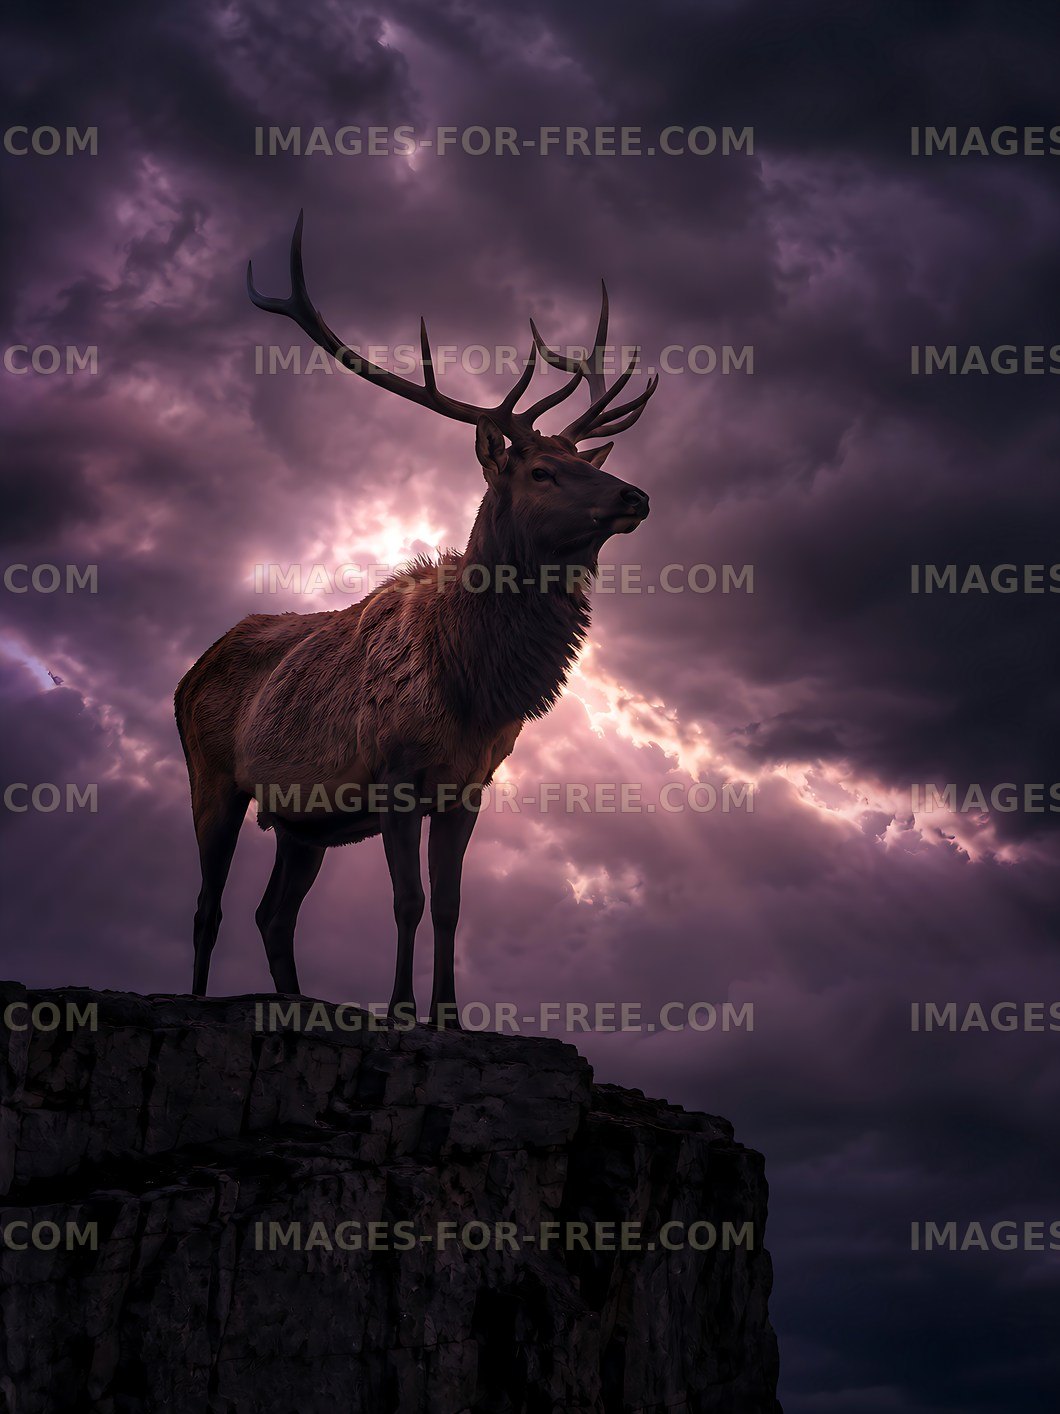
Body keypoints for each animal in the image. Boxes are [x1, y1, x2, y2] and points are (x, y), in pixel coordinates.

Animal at [174, 211, 657, 1027]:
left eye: (583, 462)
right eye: (541, 471)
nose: (635, 495)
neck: (471, 685)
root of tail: (187, 673)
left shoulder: (468, 787)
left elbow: (453, 906)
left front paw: (451, 1017)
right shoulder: (395, 772)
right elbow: (407, 900)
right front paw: (402, 1011)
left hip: (303, 823)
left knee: (272, 915)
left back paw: (297, 1003)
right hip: (212, 773)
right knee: (208, 908)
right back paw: (201, 999)